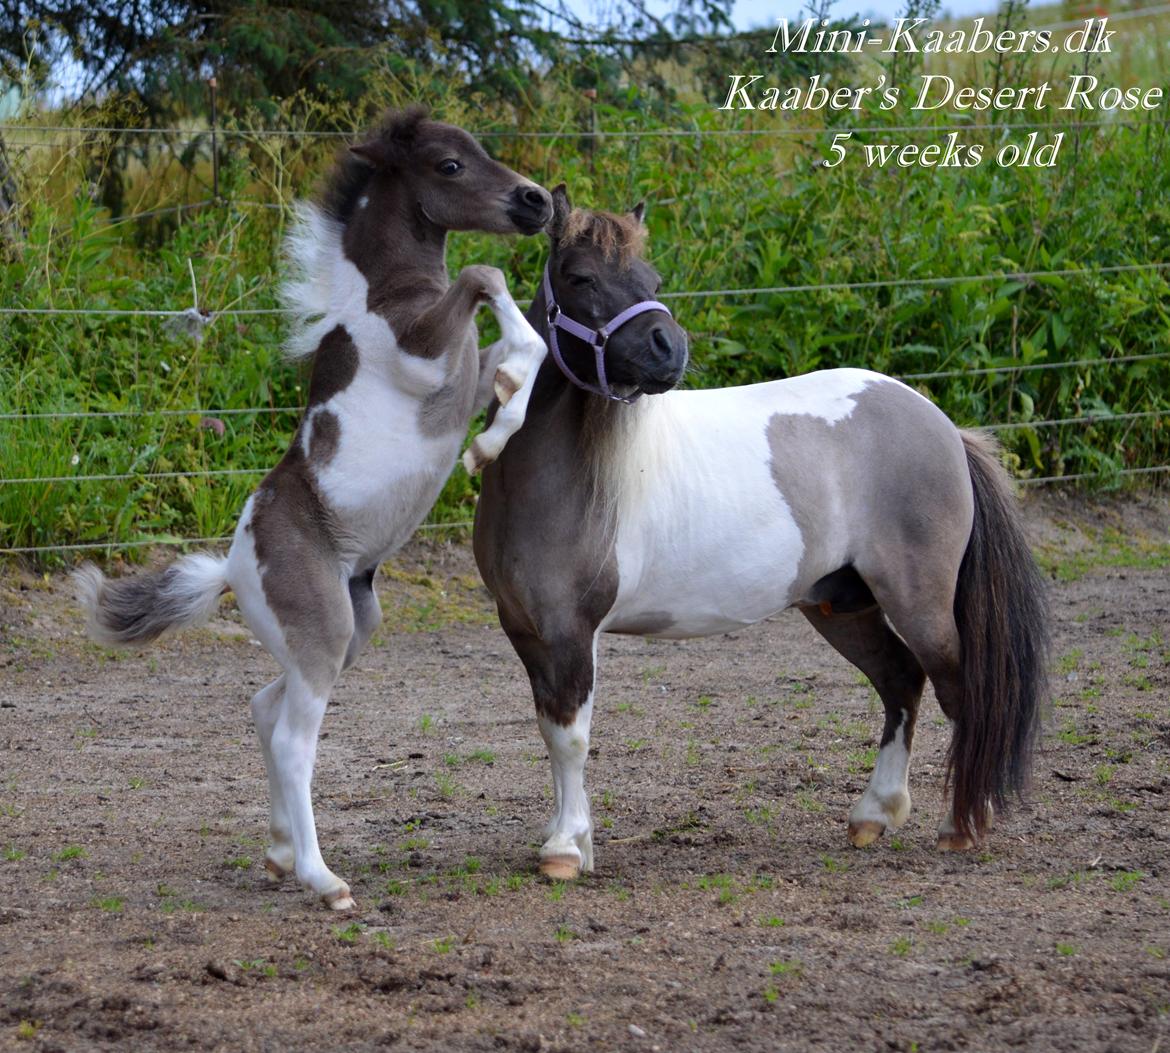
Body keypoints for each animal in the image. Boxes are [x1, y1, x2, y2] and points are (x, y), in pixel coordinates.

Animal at [77, 111, 552, 907]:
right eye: (450, 165)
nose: (537, 201)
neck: (386, 294)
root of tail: (232, 567)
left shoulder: (459, 369)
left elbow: (527, 350)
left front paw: (495, 430)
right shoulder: (424, 354)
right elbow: (486, 277)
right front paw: (488, 445)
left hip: (347, 631)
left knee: (265, 708)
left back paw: (276, 852)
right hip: (325, 632)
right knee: (293, 739)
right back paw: (321, 878)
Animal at [475, 187, 1053, 879]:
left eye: (652, 280)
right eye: (581, 277)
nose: (669, 348)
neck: (549, 478)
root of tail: (941, 425)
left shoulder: (570, 631)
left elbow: (571, 737)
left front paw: (564, 848)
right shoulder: (525, 630)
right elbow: (551, 732)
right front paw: (575, 839)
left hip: (922, 603)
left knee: (960, 690)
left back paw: (963, 825)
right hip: (842, 607)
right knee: (901, 683)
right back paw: (873, 816)